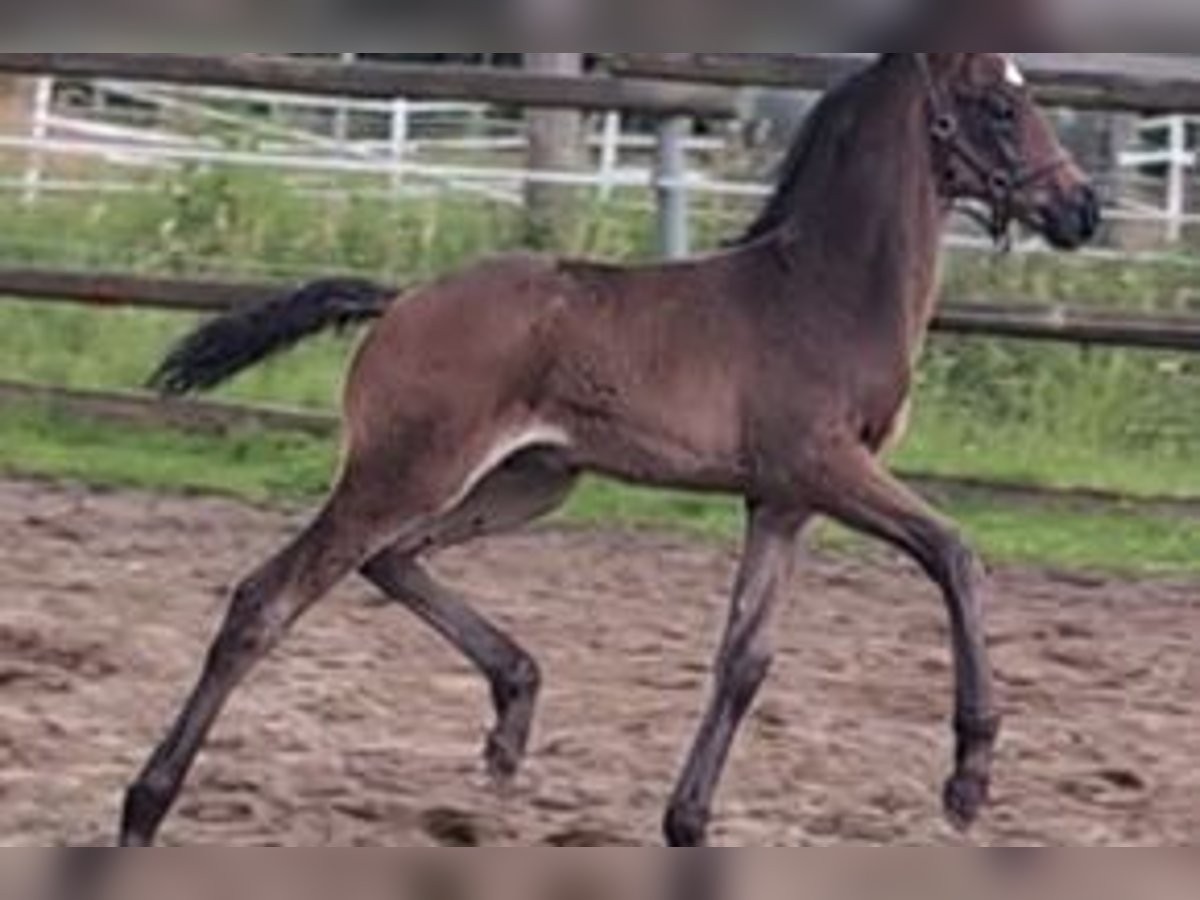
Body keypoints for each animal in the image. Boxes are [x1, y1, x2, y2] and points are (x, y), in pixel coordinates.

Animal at [131, 52, 1099, 849]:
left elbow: (744, 659)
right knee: (269, 599)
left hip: (522, 482)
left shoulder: (781, 502)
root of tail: (401, 299)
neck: (821, 292)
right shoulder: (826, 467)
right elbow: (954, 552)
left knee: (391, 560)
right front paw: (969, 780)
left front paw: (687, 823)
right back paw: (144, 806)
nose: (1081, 208)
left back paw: (513, 709)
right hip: (407, 471)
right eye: (1000, 107)